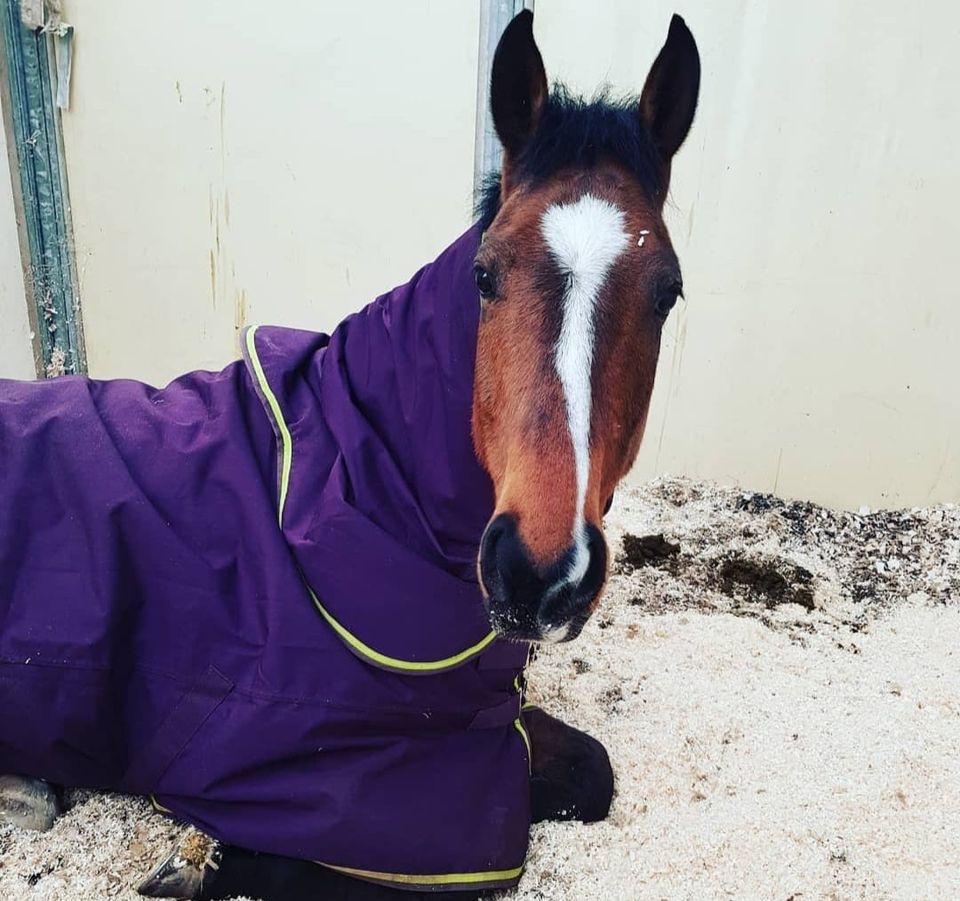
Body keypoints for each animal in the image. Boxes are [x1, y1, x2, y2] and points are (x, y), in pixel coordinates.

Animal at [0, 10, 699, 900]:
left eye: (667, 291)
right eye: (485, 275)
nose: (541, 572)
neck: (368, 488)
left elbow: (590, 767)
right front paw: (197, 858)